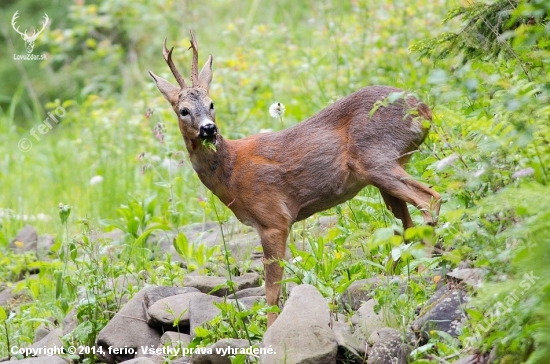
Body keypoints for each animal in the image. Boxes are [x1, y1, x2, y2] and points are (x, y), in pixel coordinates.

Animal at [151, 32, 444, 328]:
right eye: (183, 110)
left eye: (212, 104)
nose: (209, 129)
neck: (231, 170)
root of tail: (425, 111)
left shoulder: (273, 219)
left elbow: (272, 290)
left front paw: (270, 331)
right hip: (385, 169)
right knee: (406, 226)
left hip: (377, 158)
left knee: (430, 199)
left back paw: (422, 271)